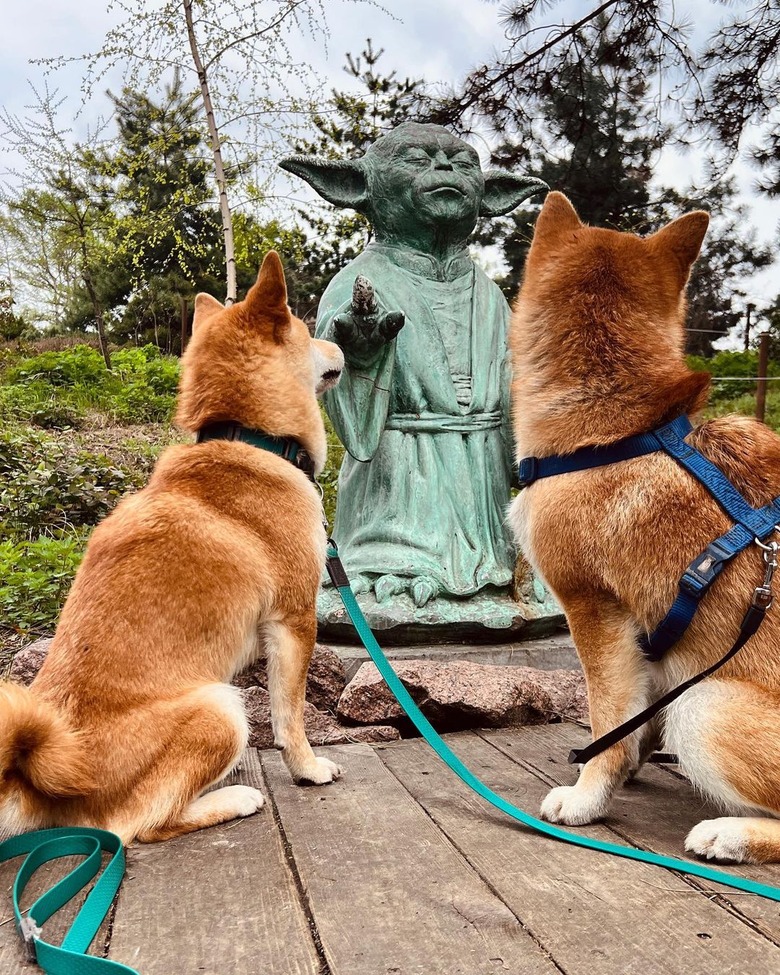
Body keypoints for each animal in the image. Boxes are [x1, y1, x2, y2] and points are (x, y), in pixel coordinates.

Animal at [0, 252, 344, 848]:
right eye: (308, 331)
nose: (341, 345)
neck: (247, 438)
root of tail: (34, 780)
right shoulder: (294, 618)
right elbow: (290, 717)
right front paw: (307, 769)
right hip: (221, 707)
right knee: (138, 828)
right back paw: (233, 798)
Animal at [508, 194, 780, 864]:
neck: (615, 429)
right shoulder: (647, 638)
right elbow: (634, 721)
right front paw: (624, 770)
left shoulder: (593, 611)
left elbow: (608, 722)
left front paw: (588, 795)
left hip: (704, 705)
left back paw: (731, 834)